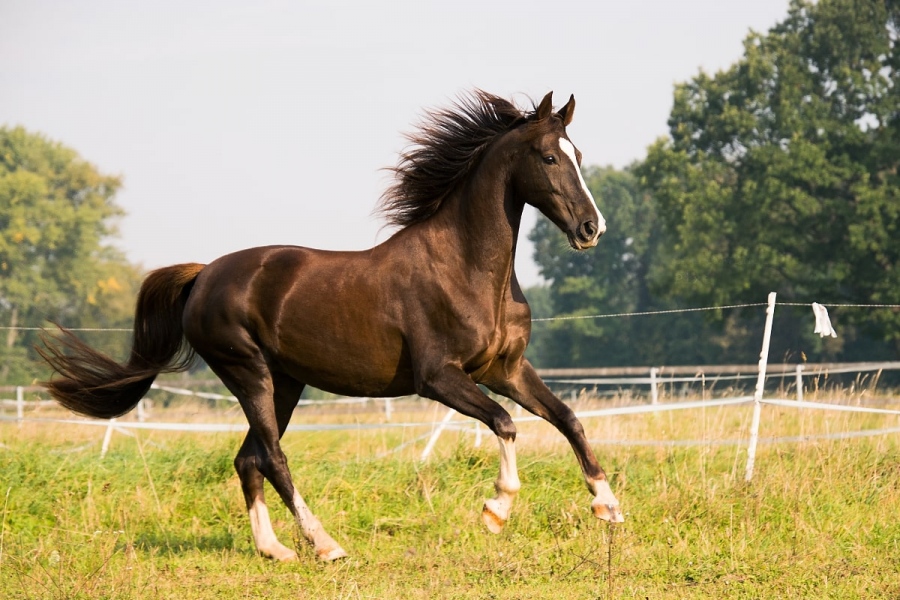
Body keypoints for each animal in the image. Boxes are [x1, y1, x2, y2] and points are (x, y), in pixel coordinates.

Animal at [38, 90, 624, 564]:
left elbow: (568, 418)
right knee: (272, 457)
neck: (466, 269)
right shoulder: (439, 378)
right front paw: (496, 510)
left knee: (247, 458)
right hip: (248, 372)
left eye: (578, 155)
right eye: (549, 157)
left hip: (285, 382)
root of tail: (204, 274)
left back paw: (274, 550)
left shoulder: (506, 369)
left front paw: (609, 506)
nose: (591, 229)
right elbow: (505, 423)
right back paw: (326, 545)